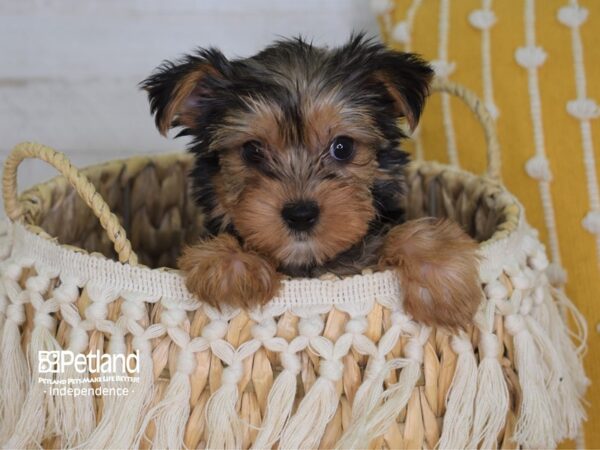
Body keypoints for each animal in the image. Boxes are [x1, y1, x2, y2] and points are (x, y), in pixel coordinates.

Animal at [143, 35, 480, 328]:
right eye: (252, 151)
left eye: (342, 147)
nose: (300, 214)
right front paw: (231, 266)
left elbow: (408, 234)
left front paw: (445, 288)